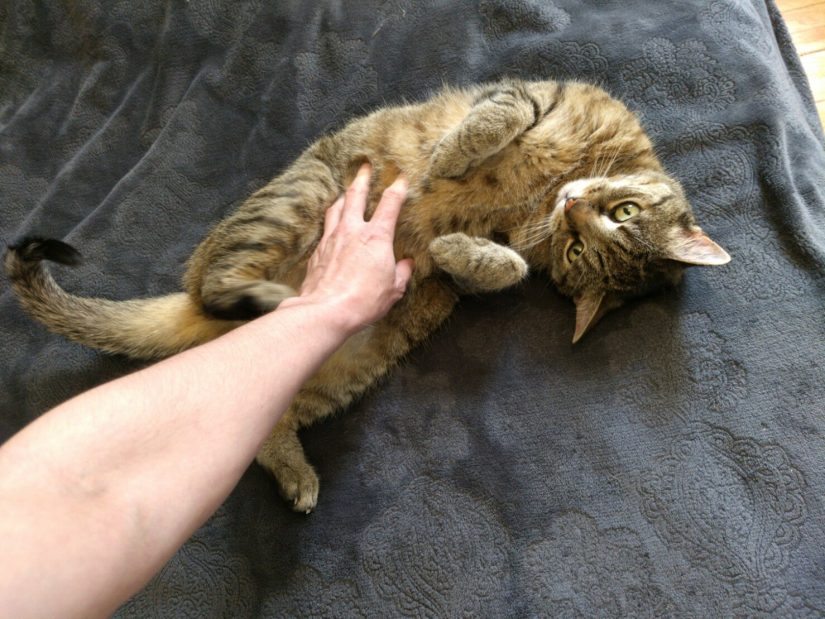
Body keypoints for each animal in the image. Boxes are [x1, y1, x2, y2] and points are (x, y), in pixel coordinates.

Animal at [4, 78, 728, 512]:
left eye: (585, 251)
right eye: (621, 212)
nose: (575, 207)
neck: (565, 181)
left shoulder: (489, 257)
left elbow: (504, 266)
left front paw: (459, 248)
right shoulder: (532, 93)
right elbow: (492, 121)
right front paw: (449, 159)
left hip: (357, 354)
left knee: (265, 415)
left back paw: (295, 458)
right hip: (303, 196)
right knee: (215, 287)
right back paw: (273, 297)